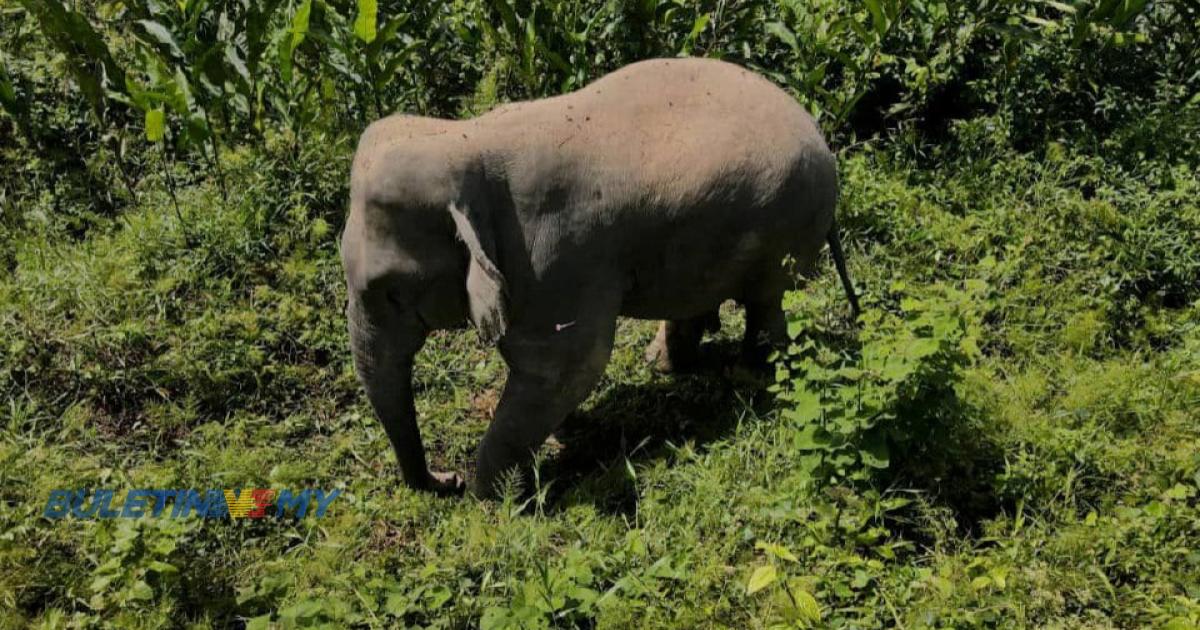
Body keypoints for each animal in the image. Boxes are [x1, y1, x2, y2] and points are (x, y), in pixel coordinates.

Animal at [343, 60, 859, 501]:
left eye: (392, 292)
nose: (445, 479)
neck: (464, 140)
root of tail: (818, 132)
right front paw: (557, 439)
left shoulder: (551, 260)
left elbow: (566, 366)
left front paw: (490, 495)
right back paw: (665, 365)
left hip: (786, 224)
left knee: (765, 300)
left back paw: (750, 374)